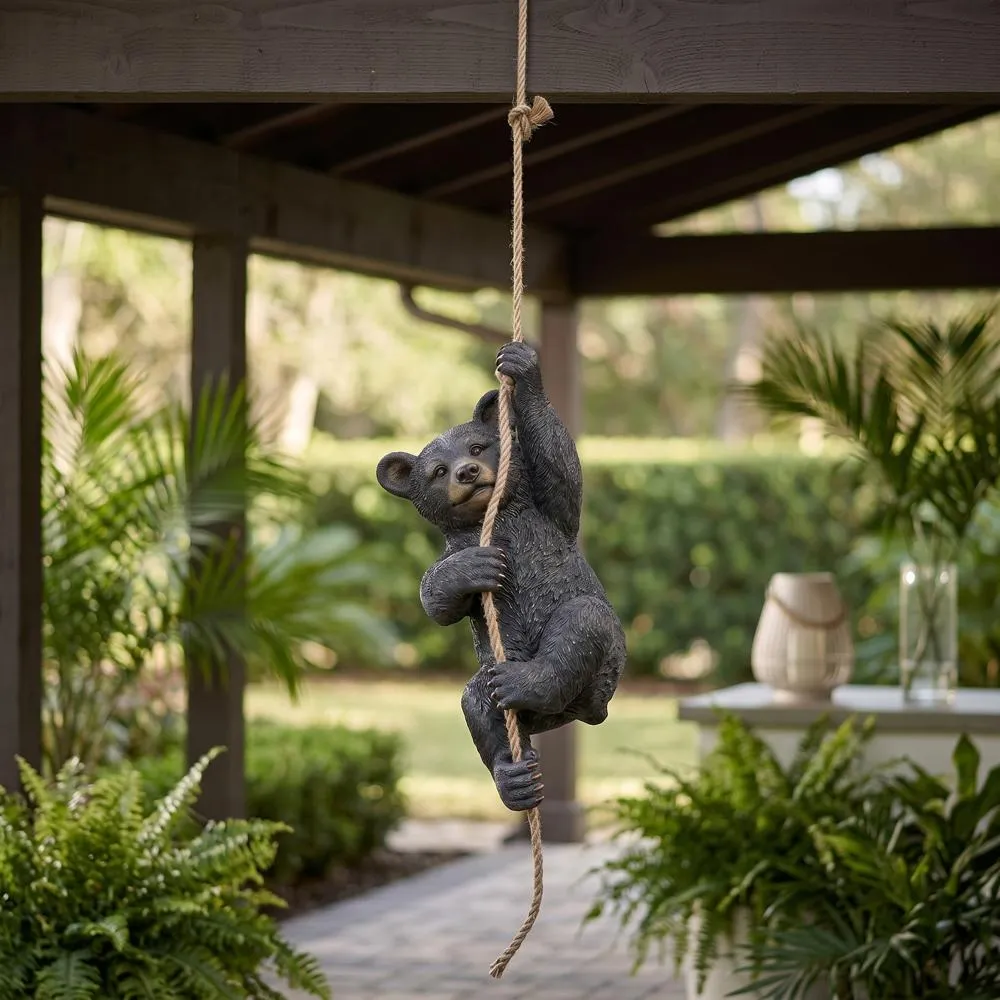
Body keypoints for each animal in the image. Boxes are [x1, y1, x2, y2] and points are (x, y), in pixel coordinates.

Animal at [375, 340, 627, 813]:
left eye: (477, 447)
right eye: (438, 471)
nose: (467, 472)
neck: (497, 517)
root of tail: (585, 712)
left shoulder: (550, 519)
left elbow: (564, 474)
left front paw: (522, 367)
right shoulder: (456, 545)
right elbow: (436, 600)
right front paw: (475, 567)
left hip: (607, 664)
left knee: (582, 621)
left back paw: (526, 683)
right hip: (498, 675)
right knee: (476, 701)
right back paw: (515, 779)